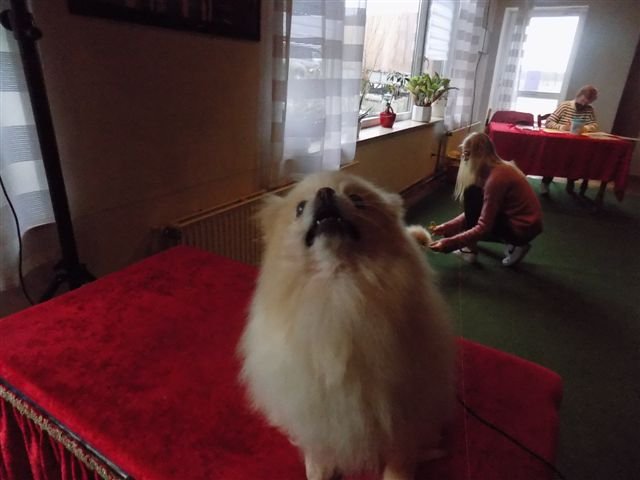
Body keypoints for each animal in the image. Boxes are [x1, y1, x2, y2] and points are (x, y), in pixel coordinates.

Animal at [238, 171, 455, 480]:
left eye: (357, 199)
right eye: (300, 208)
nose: (326, 193)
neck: (337, 286)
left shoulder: (402, 409)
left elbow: (400, 457)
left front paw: (398, 474)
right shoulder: (313, 404)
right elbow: (318, 447)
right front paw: (319, 469)